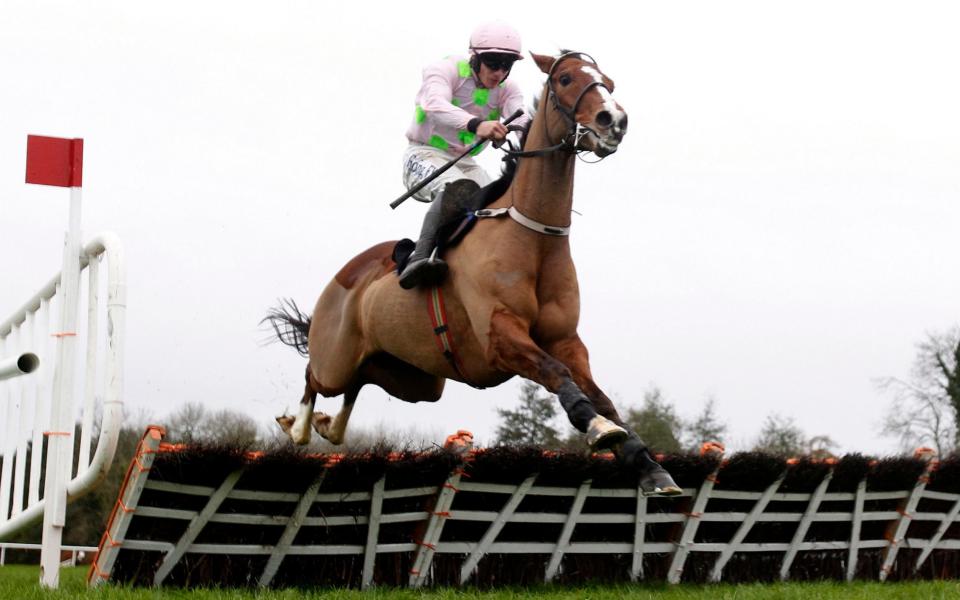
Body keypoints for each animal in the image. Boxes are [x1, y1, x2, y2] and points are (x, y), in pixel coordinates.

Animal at [266, 50, 680, 496]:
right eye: (566, 78)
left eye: (609, 83)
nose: (613, 120)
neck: (532, 235)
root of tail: (343, 278)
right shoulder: (500, 336)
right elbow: (557, 373)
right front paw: (600, 428)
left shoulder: (565, 339)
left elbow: (599, 394)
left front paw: (647, 465)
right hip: (337, 359)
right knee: (315, 378)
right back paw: (298, 426)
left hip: (413, 379)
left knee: (358, 384)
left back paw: (327, 426)